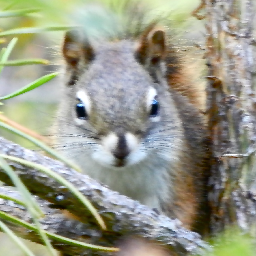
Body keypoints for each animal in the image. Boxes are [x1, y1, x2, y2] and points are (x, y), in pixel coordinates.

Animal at [55, 4, 211, 236]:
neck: (121, 173)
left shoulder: (177, 180)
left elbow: (180, 211)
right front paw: (72, 221)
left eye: (154, 106)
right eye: (79, 108)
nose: (121, 150)